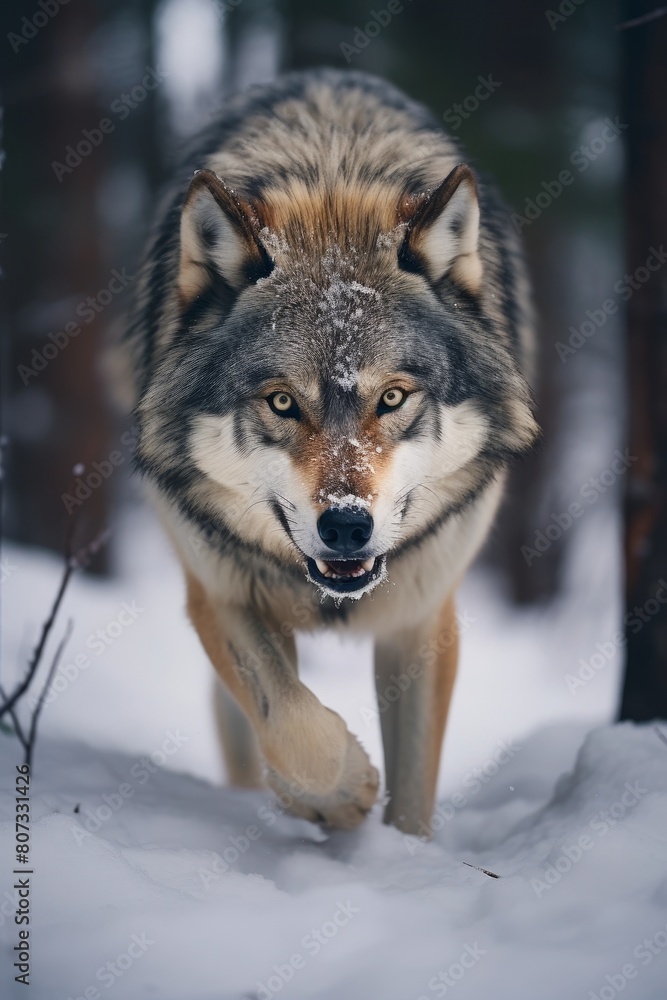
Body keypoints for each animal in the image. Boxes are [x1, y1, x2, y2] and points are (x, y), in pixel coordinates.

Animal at [123, 68, 538, 835]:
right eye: (284, 403)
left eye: (393, 398)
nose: (346, 525)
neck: (332, 170)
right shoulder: (218, 591)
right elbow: (290, 720)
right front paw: (340, 791)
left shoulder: (421, 619)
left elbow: (412, 791)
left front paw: (402, 846)